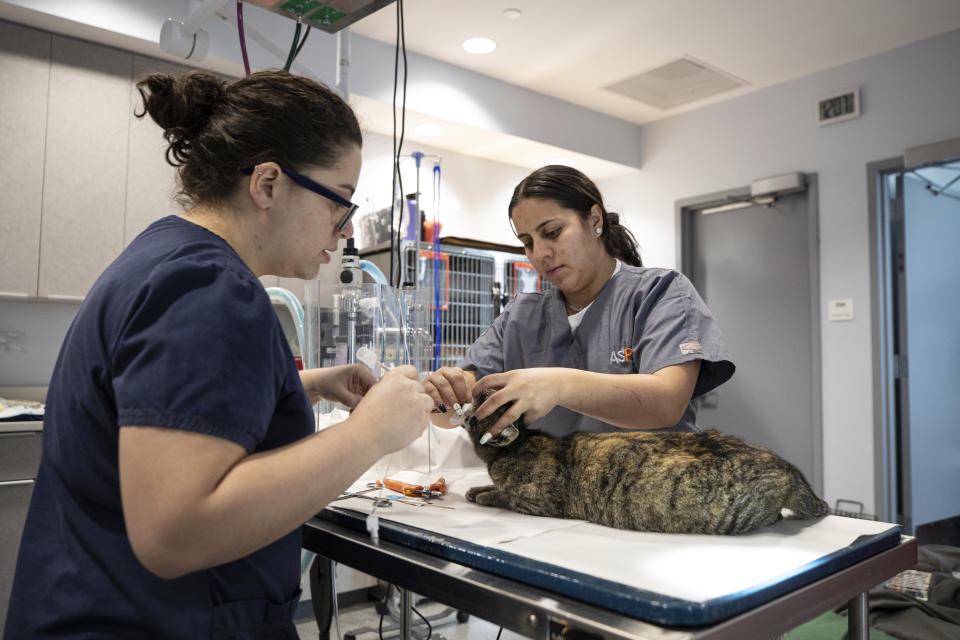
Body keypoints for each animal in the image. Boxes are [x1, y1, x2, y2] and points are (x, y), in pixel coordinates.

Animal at [462, 390, 828, 536]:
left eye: (481, 404)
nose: (471, 397)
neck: (519, 445)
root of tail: (786, 466)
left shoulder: (537, 501)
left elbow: (502, 495)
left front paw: (481, 494)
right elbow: (490, 485)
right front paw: (477, 487)